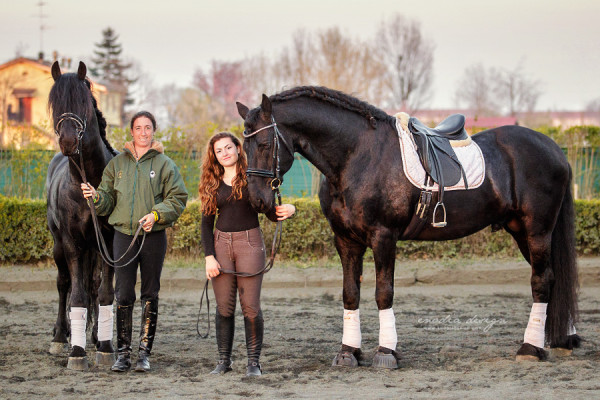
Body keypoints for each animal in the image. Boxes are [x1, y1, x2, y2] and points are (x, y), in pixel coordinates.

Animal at [237, 87, 580, 368]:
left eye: (265, 144)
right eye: (243, 146)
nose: (257, 201)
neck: (356, 155)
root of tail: (554, 149)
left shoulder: (384, 237)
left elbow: (383, 293)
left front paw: (386, 352)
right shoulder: (346, 241)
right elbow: (350, 294)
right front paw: (348, 352)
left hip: (537, 231)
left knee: (541, 281)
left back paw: (530, 348)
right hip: (522, 232)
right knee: (553, 278)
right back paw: (563, 339)